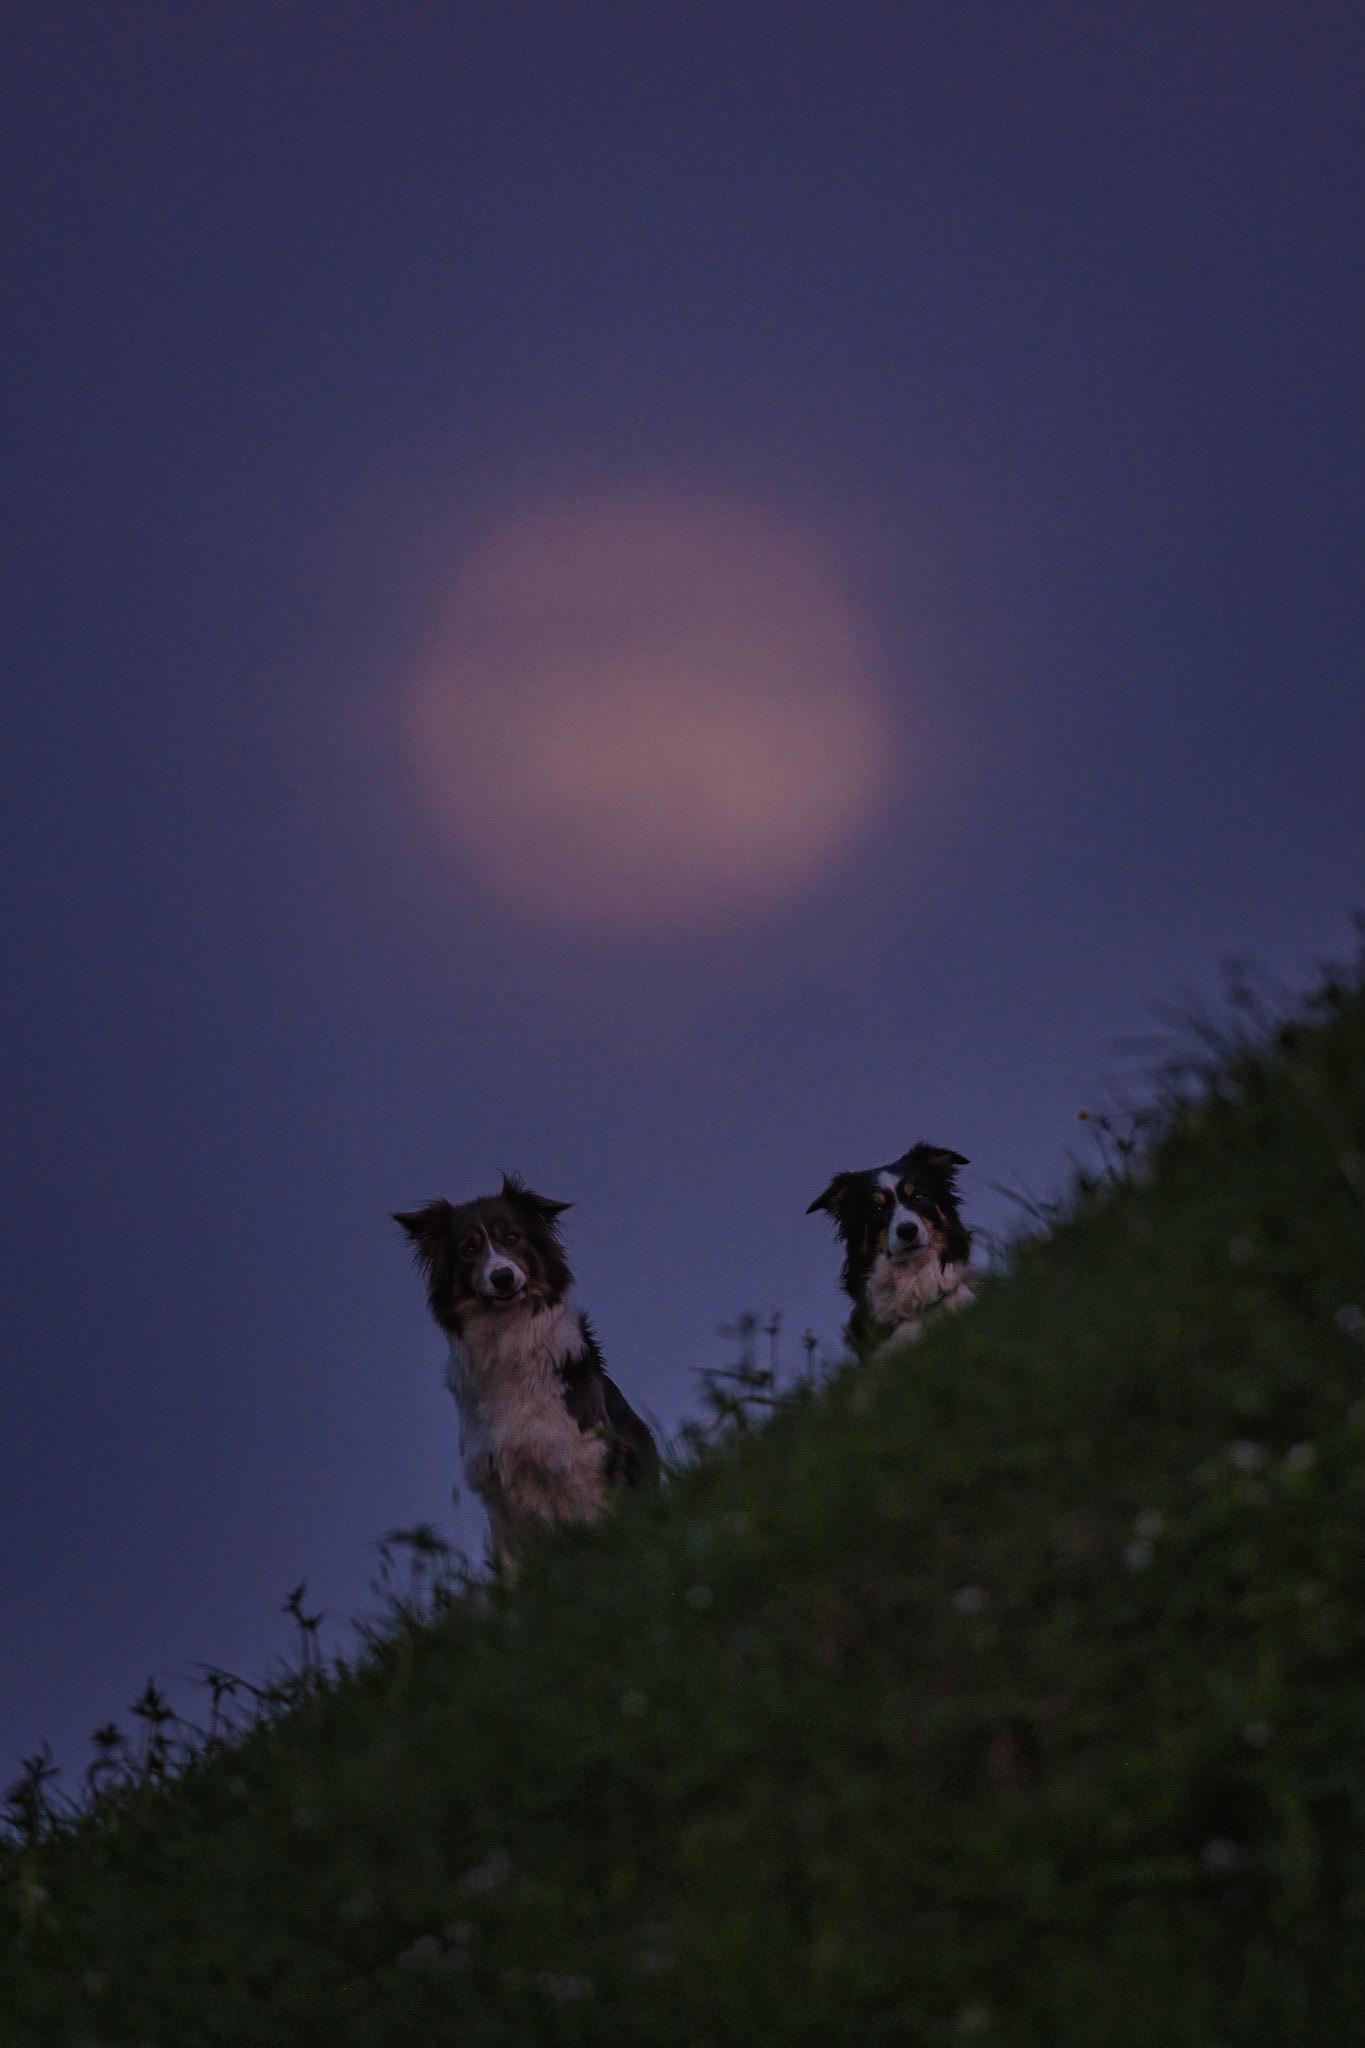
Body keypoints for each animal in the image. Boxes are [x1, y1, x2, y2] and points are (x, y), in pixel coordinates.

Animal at [394, 1176, 658, 1569]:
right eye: (468, 1250)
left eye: (512, 1238)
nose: (502, 1277)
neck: (506, 1341)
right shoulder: (497, 1490)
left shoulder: (585, 1465)